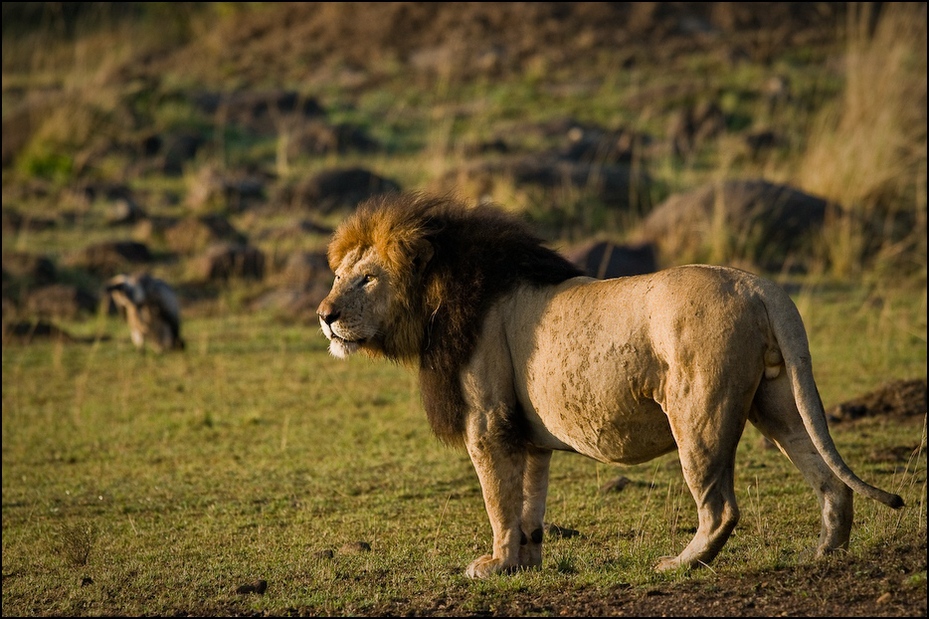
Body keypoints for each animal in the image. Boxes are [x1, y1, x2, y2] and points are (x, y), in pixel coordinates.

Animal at [316, 191, 904, 580]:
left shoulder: (488, 423)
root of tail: (759, 286)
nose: (325, 315)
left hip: (698, 412)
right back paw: (822, 555)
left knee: (721, 507)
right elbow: (529, 503)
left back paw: (678, 564)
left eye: (366, 278)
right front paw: (526, 564)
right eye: (338, 276)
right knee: (828, 480)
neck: (438, 297)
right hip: (778, 400)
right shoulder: (526, 434)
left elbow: (498, 499)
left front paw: (494, 564)